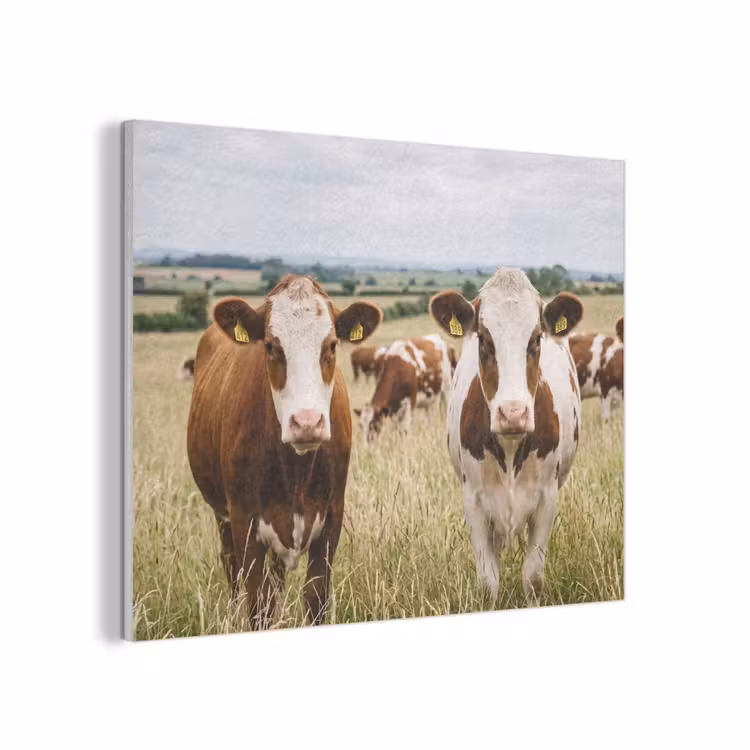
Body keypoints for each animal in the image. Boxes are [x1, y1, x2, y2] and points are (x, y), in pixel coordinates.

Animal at [186, 276, 381, 628]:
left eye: (332, 345)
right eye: (270, 346)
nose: (307, 423)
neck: (296, 472)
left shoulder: (331, 519)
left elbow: (315, 598)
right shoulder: (245, 523)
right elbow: (258, 605)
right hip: (222, 516)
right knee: (231, 569)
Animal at [430, 268, 583, 605]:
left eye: (536, 339)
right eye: (484, 340)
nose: (513, 413)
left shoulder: (547, 498)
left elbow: (533, 577)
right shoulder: (473, 500)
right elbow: (488, 581)